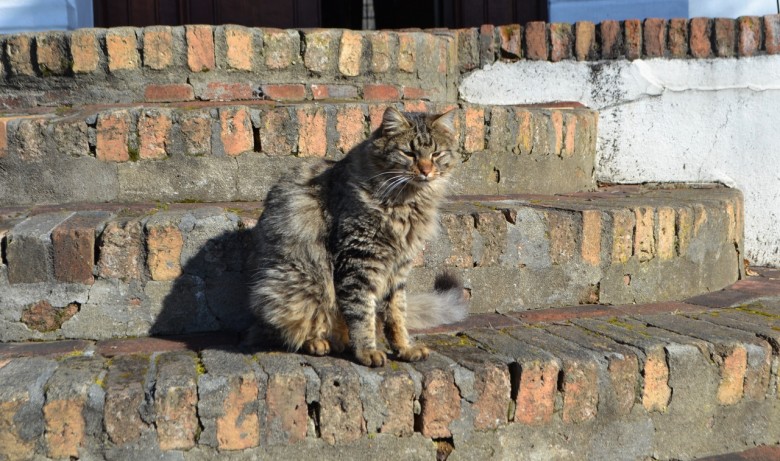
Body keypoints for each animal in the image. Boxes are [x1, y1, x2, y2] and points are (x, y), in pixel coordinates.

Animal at [248, 108, 470, 366]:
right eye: (409, 153)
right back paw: (319, 342)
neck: (407, 202)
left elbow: (396, 315)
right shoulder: (358, 260)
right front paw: (367, 352)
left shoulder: (398, 269)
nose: (426, 171)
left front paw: (404, 348)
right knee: (293, 328)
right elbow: (362, 313)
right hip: (294, 284)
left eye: (436, 154)